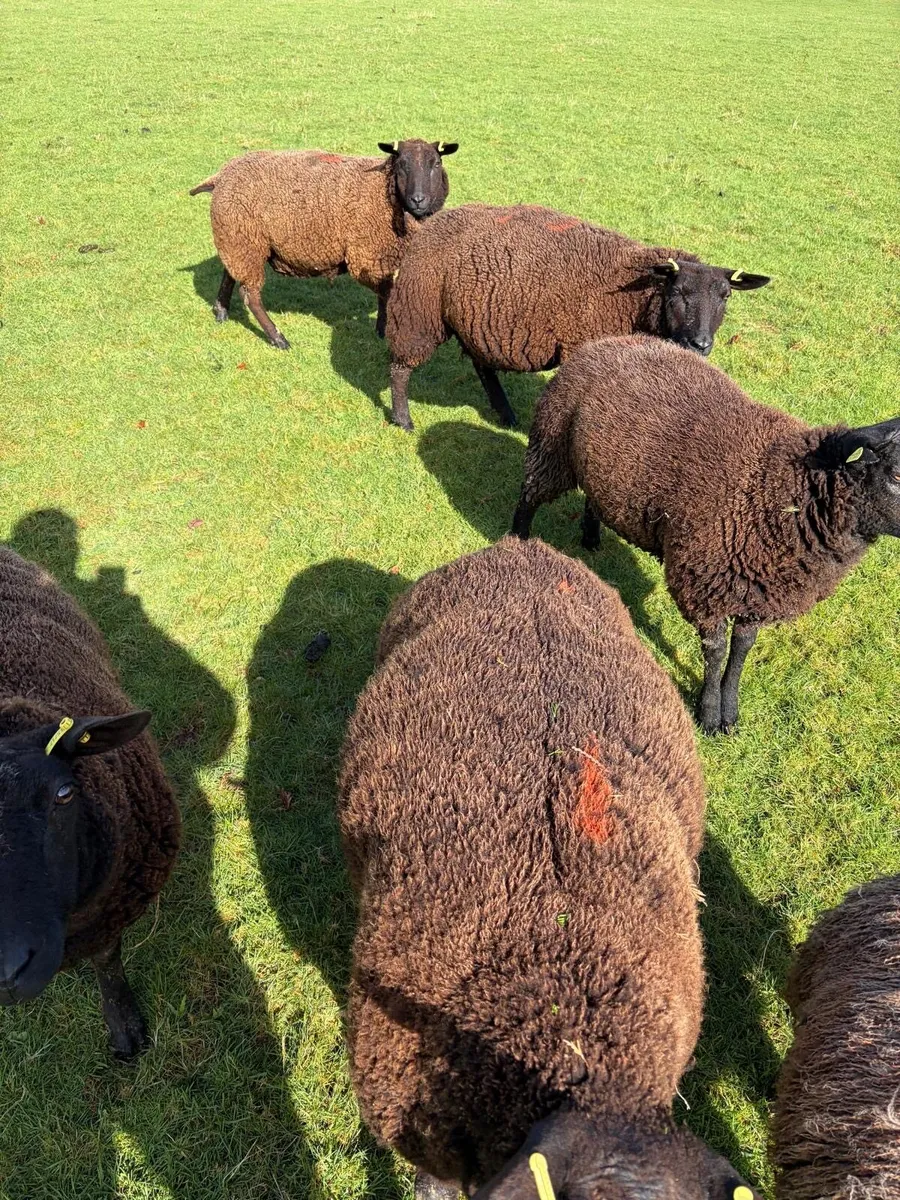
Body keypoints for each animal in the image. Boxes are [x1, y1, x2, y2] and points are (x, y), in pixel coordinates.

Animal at [190, 138, 458, 349]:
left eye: (436, 164)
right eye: (402, 165)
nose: (418, 199)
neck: (384, 192)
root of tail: (221, 175)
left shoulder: (380, 257)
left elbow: (385, 293)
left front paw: (382, 329)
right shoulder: (365, 255)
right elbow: (387, 293)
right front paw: (385, 329)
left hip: (238, 238)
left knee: (230, 272)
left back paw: (221, 311)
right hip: (245, 241)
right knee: (250, 294)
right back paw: (278, 338)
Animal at [384, 201, 769, 430]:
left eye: (725, 297)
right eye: (677, 293)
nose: (700, 344)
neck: (632, 296)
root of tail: (431, 223)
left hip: (476, 320)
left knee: (482, 366)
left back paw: (506, 414)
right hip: (418, 310)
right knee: (400, 367)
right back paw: (403, 419)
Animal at [511, 335, 900, 735]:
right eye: (896, 475)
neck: (776, 487)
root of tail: (606, 341)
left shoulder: (757, 593)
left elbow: (742, 649)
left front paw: (731, 711)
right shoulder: (704, 585)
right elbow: (715, 651)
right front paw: (710, 714)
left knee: (592, 497)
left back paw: (590, 538)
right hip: (552, 442)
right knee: (529, 495)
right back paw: (518, 540)